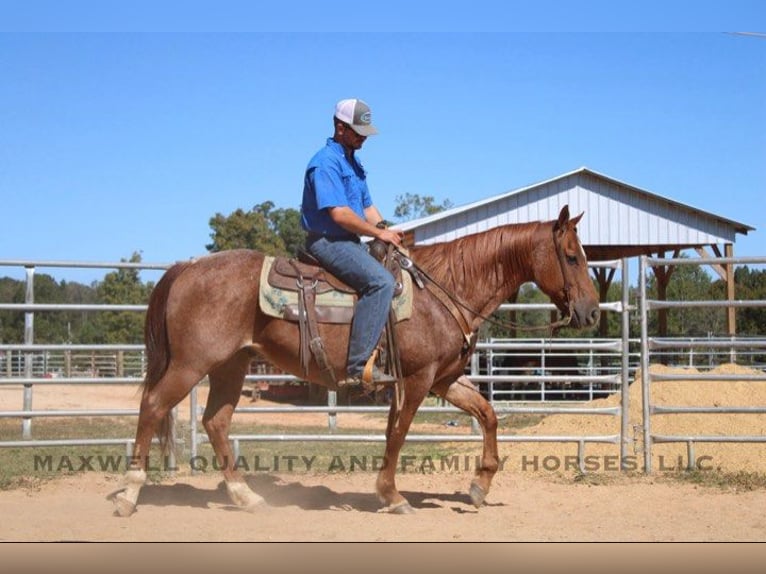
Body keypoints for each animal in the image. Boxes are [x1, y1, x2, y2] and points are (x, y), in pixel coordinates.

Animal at [113, 205, 600, 516]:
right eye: (571, 257)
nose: (592, 311)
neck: (443, 291)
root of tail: (187, 267)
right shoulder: (416, 380)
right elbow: (399, 434)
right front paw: (391, 495)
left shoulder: (443, 380)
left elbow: (488, 414)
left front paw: (479, 486)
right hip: (190, 365)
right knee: (152, 407)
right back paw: (129, 496)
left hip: (231, 365)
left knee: (215, 421)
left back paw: (246, 498)